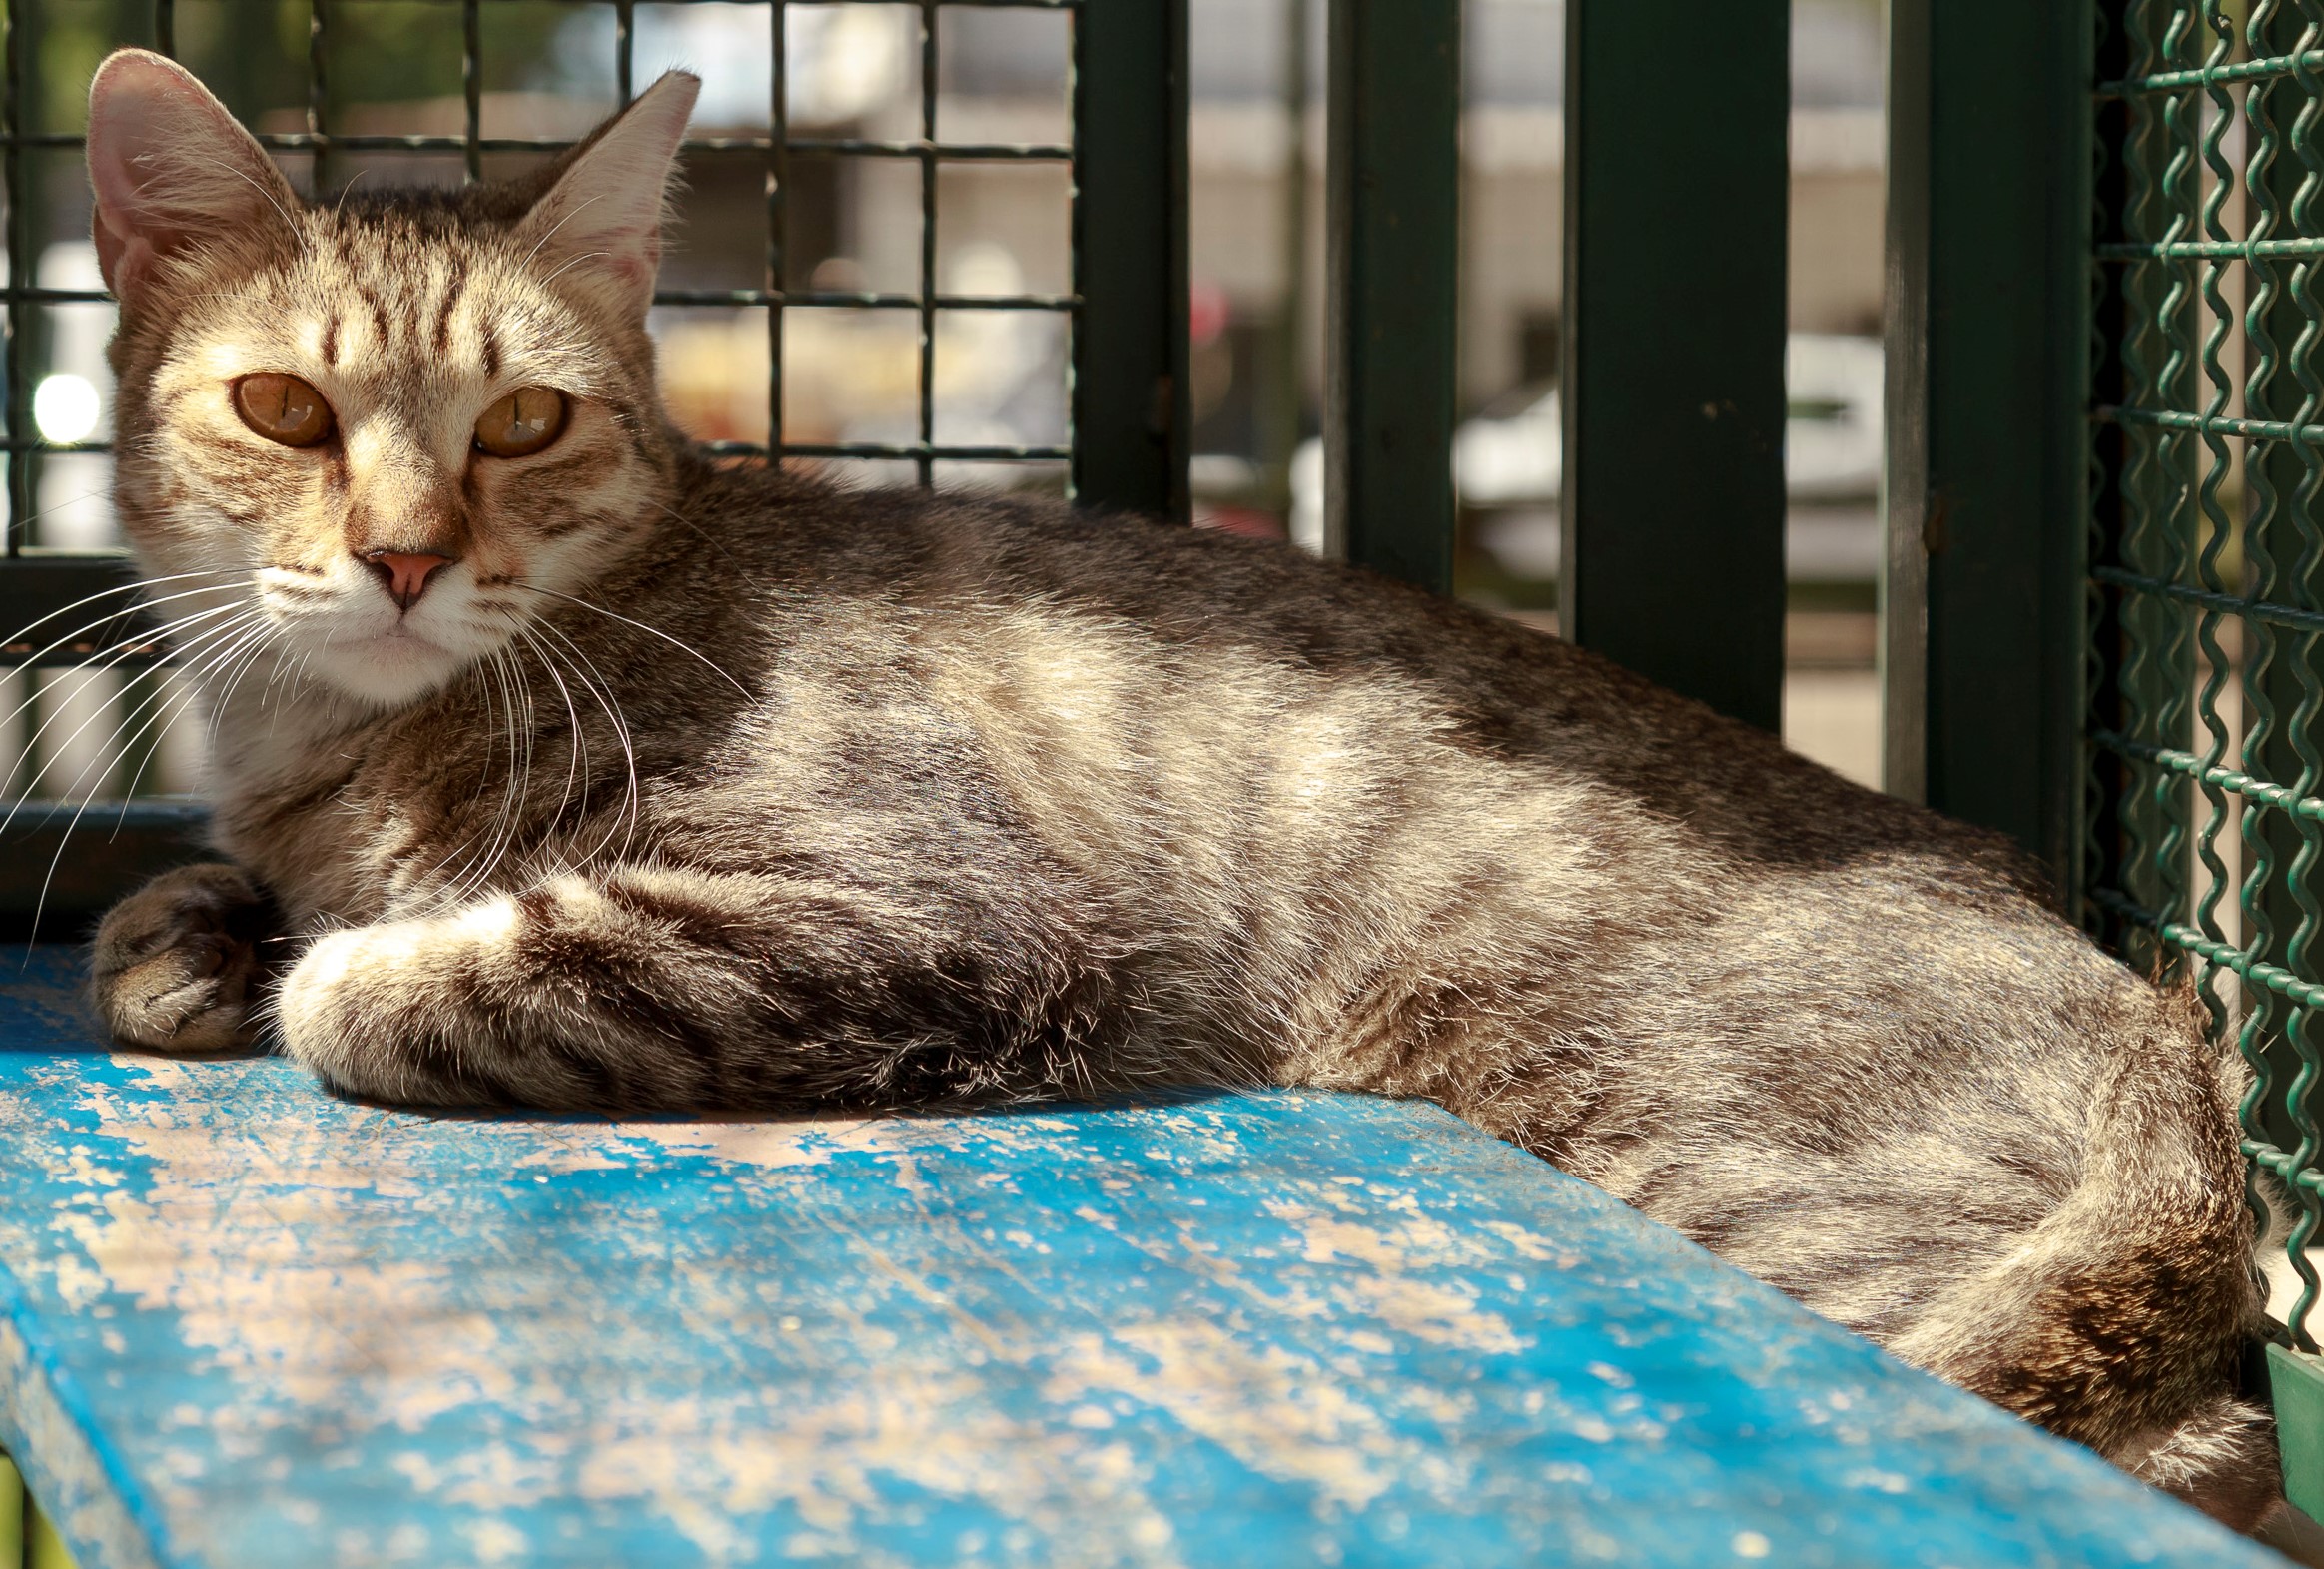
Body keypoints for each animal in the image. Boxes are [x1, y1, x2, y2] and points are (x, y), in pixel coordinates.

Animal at [68, 45, 2268, 1524]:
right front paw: (191, 928)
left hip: (1741, 1155)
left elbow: (418, 971)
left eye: (523, 421)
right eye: (280, 405)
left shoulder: (910, 906)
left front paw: (327, 960)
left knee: (2191, 1435)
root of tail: (2145, 1007)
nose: (405, 556)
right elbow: (193, 899)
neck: (354, 741)